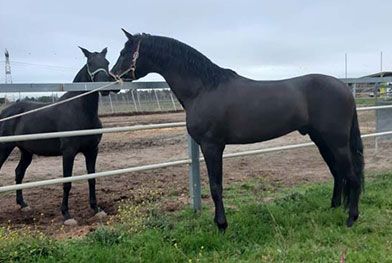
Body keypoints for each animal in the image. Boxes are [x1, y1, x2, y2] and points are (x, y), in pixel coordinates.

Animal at [0, 47, 113, 227]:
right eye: (90, 63)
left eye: (107, 62)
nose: (104, 88)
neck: (81, 111)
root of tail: (5, 112)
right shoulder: (68, 152)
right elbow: (67, 182)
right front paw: (66, 214)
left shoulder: (92, 151)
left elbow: (92, 178)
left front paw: (96, 209)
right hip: (4, 148)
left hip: (26, 152)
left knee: (19, 172)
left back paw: (23, 204)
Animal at [111, 30, 364, 231]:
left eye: (124, 52)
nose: (111, 78)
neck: (204, 88)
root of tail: (344, 89)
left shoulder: (212, 146)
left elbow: (216, 186)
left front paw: (221, 225)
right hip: (320, 139)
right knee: (337, 172)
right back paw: (334, 208)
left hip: (337, 141)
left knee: (351, 175)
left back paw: (351, 218)